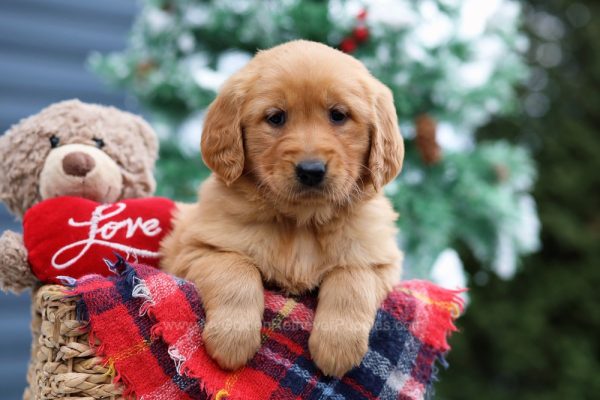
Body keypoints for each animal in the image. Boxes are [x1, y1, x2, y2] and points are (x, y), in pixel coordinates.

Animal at [161, 40, 404, 378]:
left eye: (338, 115)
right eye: (276, 118)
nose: (311, 170)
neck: (302, 222)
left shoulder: (378, 259)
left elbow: (352, 280)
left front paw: (337, 348)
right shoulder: (194, 248)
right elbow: (237, 270)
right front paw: (232, 340)